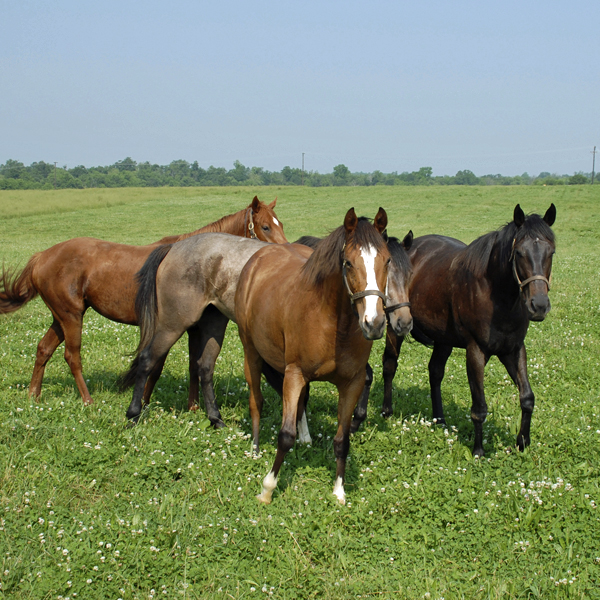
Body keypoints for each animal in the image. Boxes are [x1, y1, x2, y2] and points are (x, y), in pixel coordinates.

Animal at [0, 197, 288, 404]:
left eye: (280, 224)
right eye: (265, 226)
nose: (285, 251)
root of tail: (41, 256)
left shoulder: (193, 328)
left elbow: (193, 365)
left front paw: (193, 406)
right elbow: (157, 365)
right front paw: (145, 402)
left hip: (62, 317)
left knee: (43, 349)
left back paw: (33, 395)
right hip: (70, 317)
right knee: (72, 356)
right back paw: (87, 400)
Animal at [378, 204, 556, 458]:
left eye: (551, 252)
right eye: (520, 253)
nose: (539, 305)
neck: (498, 296)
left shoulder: (513, 350)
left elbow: (527, 397)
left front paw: (522, 442)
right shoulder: (476, 352)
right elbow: (479, 407)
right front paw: (479, 450)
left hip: (444, 339)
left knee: (435, 372)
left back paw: (439, 419)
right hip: (396, 327)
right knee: (390, 365)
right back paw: (387, 410)